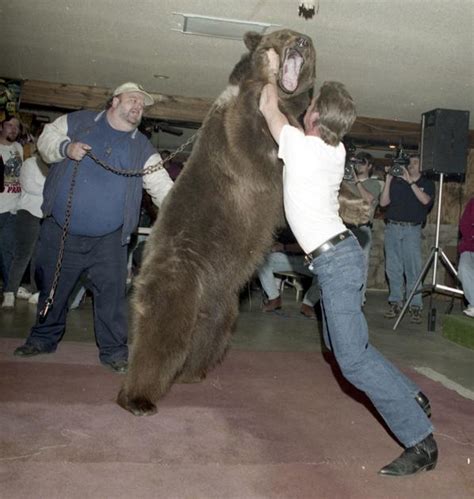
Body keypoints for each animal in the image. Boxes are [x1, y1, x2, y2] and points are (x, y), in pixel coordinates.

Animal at [117, 29, 318, 416]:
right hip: (179, 272)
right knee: (162, 330)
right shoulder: (242, 134)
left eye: (309, 43)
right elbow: (264, 148)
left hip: (221, 294)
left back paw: (192, 373)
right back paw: (137, 397)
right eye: (282, 35)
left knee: (210, 330)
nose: (301, 40)